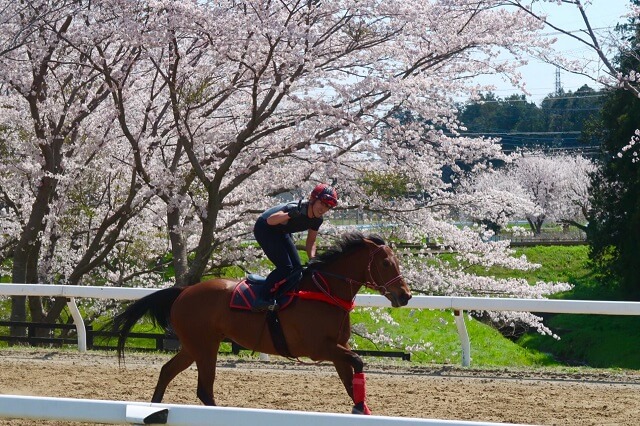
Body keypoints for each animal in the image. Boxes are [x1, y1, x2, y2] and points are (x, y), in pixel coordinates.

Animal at [106, 231, 410, 414]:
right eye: (385, 263)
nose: (405, 295)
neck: (325, 291)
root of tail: (183, 291)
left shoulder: (337, 348)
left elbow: (351, 379)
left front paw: (362, 409)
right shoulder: (318, 349)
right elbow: (358, 361)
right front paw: (359, 409)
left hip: (194, 346)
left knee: (167, 371)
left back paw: (153, 405)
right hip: (205, 348)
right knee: (204, 389)